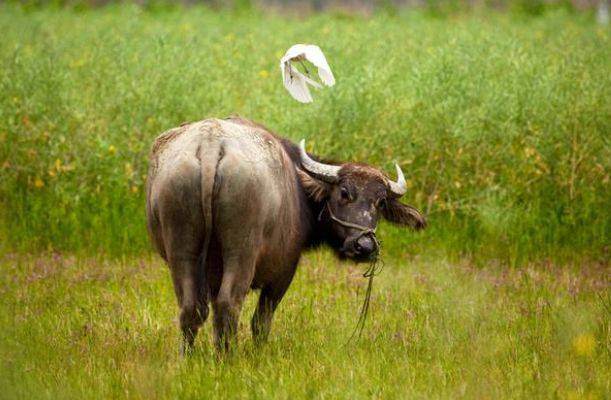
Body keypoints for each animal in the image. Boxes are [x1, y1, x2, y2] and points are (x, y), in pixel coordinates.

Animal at [148, 116, 426, 354]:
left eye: (381, 202)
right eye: (344, 193)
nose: (365, 246)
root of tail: (210, 145)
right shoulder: (283, 272)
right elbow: (261, 322)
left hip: (182, 250)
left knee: (191, 309)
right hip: (241, 252)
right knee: (229, 305)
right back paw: (228, 358)